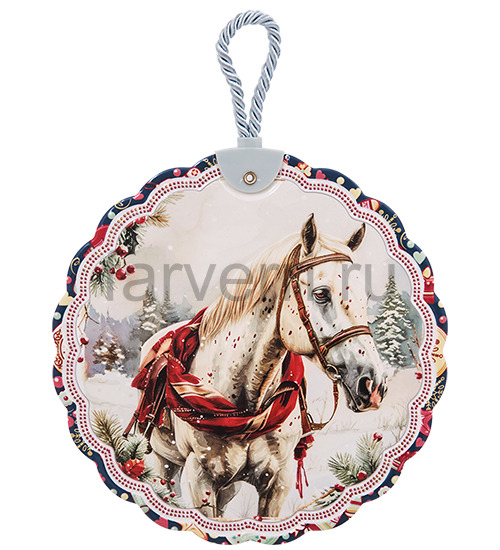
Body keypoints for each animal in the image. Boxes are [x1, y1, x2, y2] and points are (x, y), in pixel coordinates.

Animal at [137, 214, 387, 519]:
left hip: (228, 486)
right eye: (320, 294)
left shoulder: (277, 481)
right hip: (164, 463)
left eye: (365, 298)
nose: (373, 385)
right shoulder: (200, 478)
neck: (248, 408)